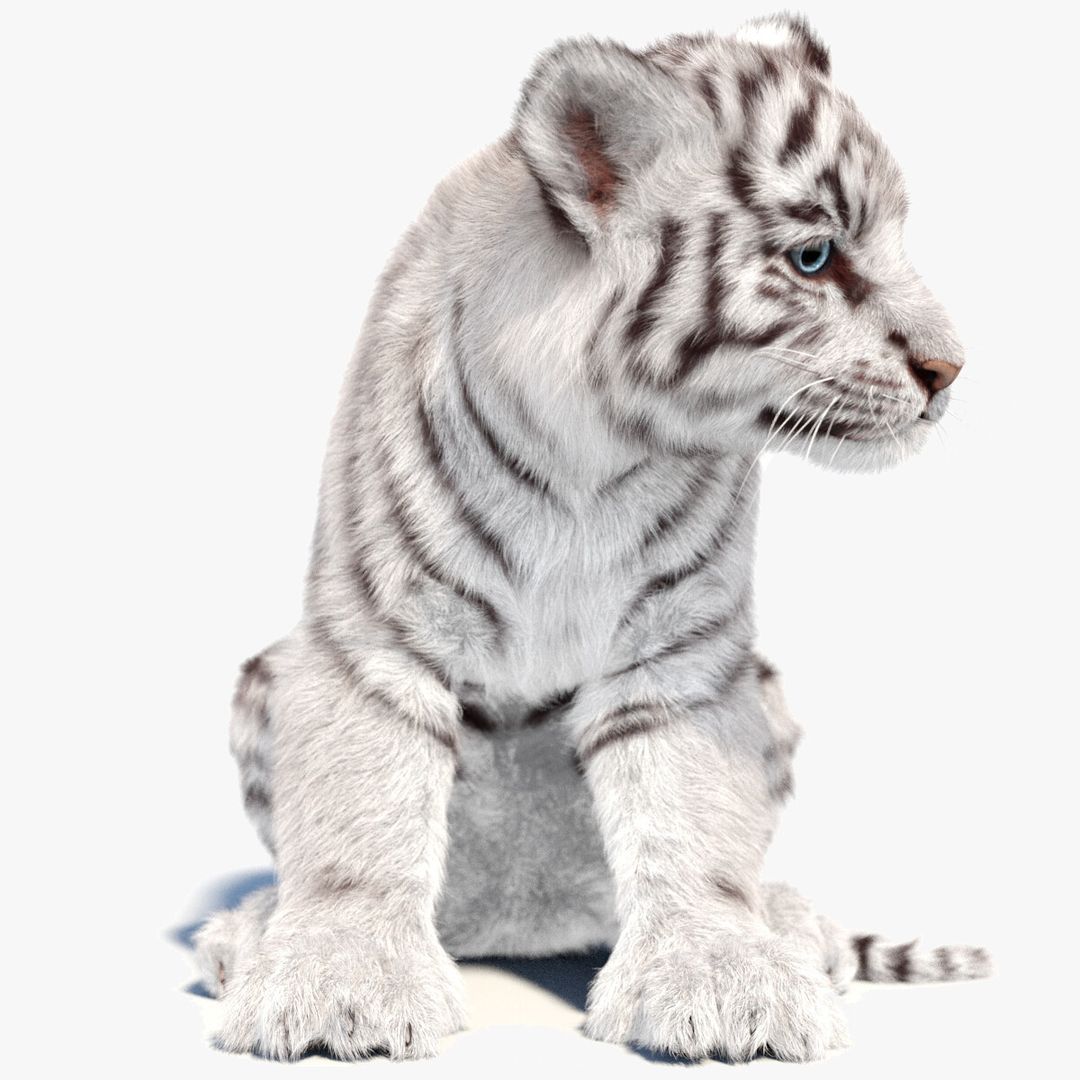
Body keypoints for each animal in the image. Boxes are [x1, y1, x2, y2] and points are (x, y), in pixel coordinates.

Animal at [192, 13, 989, 1063]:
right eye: (815, 258)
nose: (950, 370)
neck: (598, 445)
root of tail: (521, 921)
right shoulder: (378, 635)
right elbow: (363, 810)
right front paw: (337, 989)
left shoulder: (682, 651)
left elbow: (692, 819)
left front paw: (729, 981)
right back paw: (249, 929)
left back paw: (791, 926)